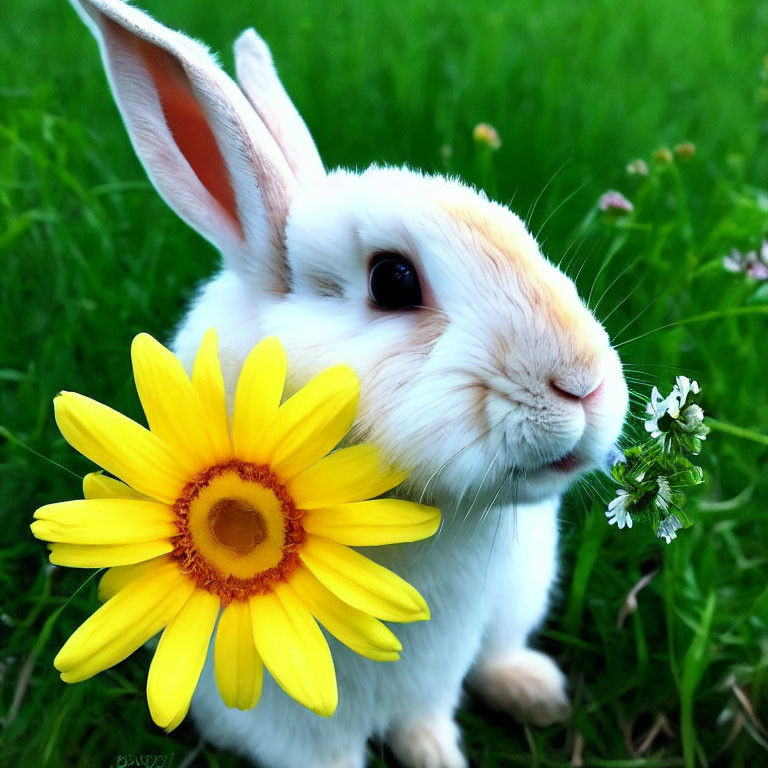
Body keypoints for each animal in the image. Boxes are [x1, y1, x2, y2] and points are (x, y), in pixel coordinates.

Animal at [72, 1, 628, 768]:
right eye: (393, 280)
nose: (583, 386)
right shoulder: (284, 719)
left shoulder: (435, 672)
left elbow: (428, 719)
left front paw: (438, 757)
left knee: (501, 648)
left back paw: (535, 690)